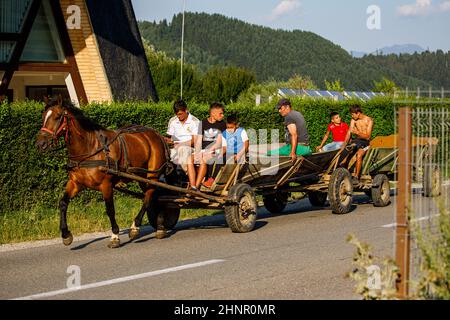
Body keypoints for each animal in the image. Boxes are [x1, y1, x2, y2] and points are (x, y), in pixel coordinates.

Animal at [36, 96, 170, 249]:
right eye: (43, 116)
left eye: (58, 117)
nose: (40, 144)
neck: (89, 149)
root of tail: (157, 135)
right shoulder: (76, 183)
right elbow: (63, 203)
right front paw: (66, 234)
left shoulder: (106, 185)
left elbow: (110, 209)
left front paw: (115, 236)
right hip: (142, 176)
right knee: (151, 195)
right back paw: (160, 227)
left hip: (152, 174)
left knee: (148, 197)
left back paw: (136, 227)